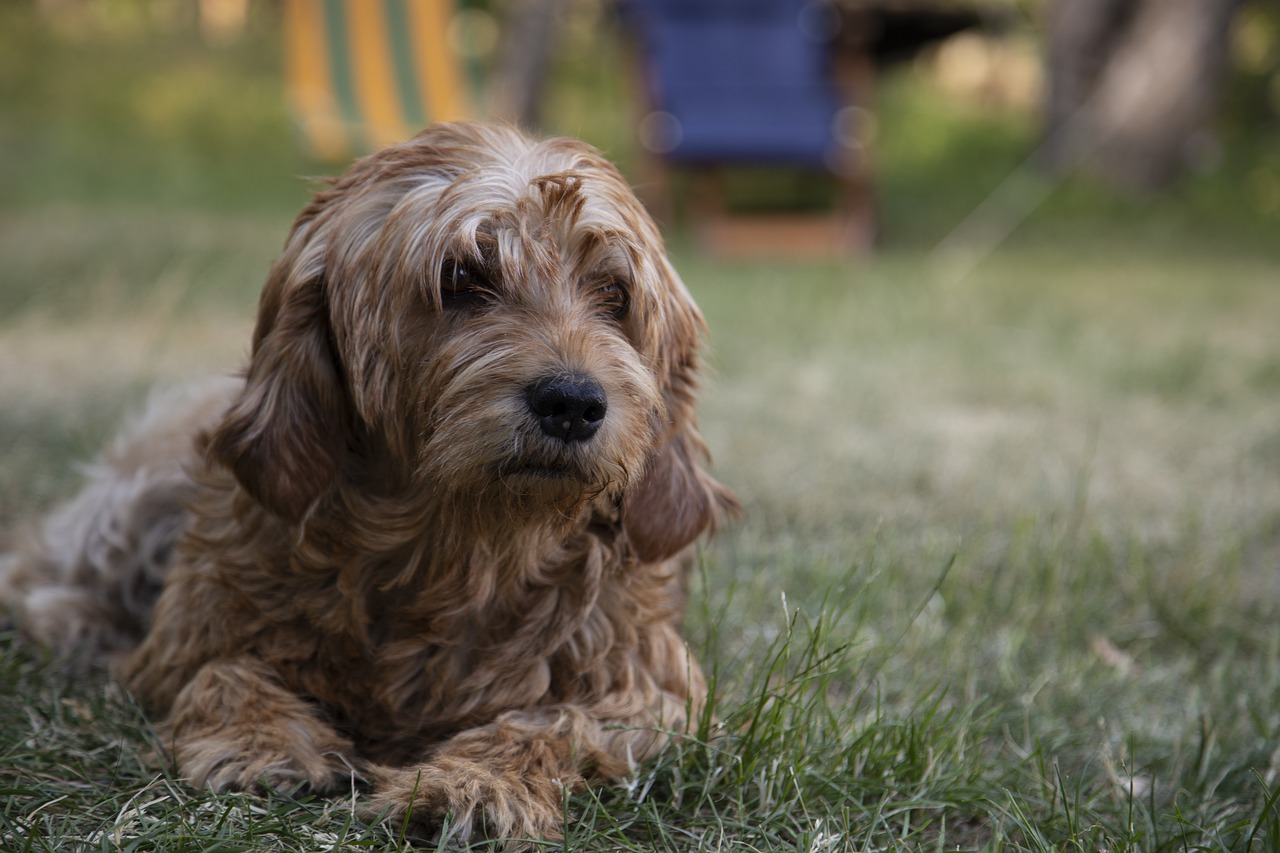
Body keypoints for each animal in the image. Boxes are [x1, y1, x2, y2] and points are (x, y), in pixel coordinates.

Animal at [0, 121, 737, 845]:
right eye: (461, 275)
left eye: (614, 294)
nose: (574, 403)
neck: (461, 550)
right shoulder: (185, 637)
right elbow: (219, 669)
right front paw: (261, 740)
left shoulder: (654, 689)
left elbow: (558, 720)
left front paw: (475, 783)